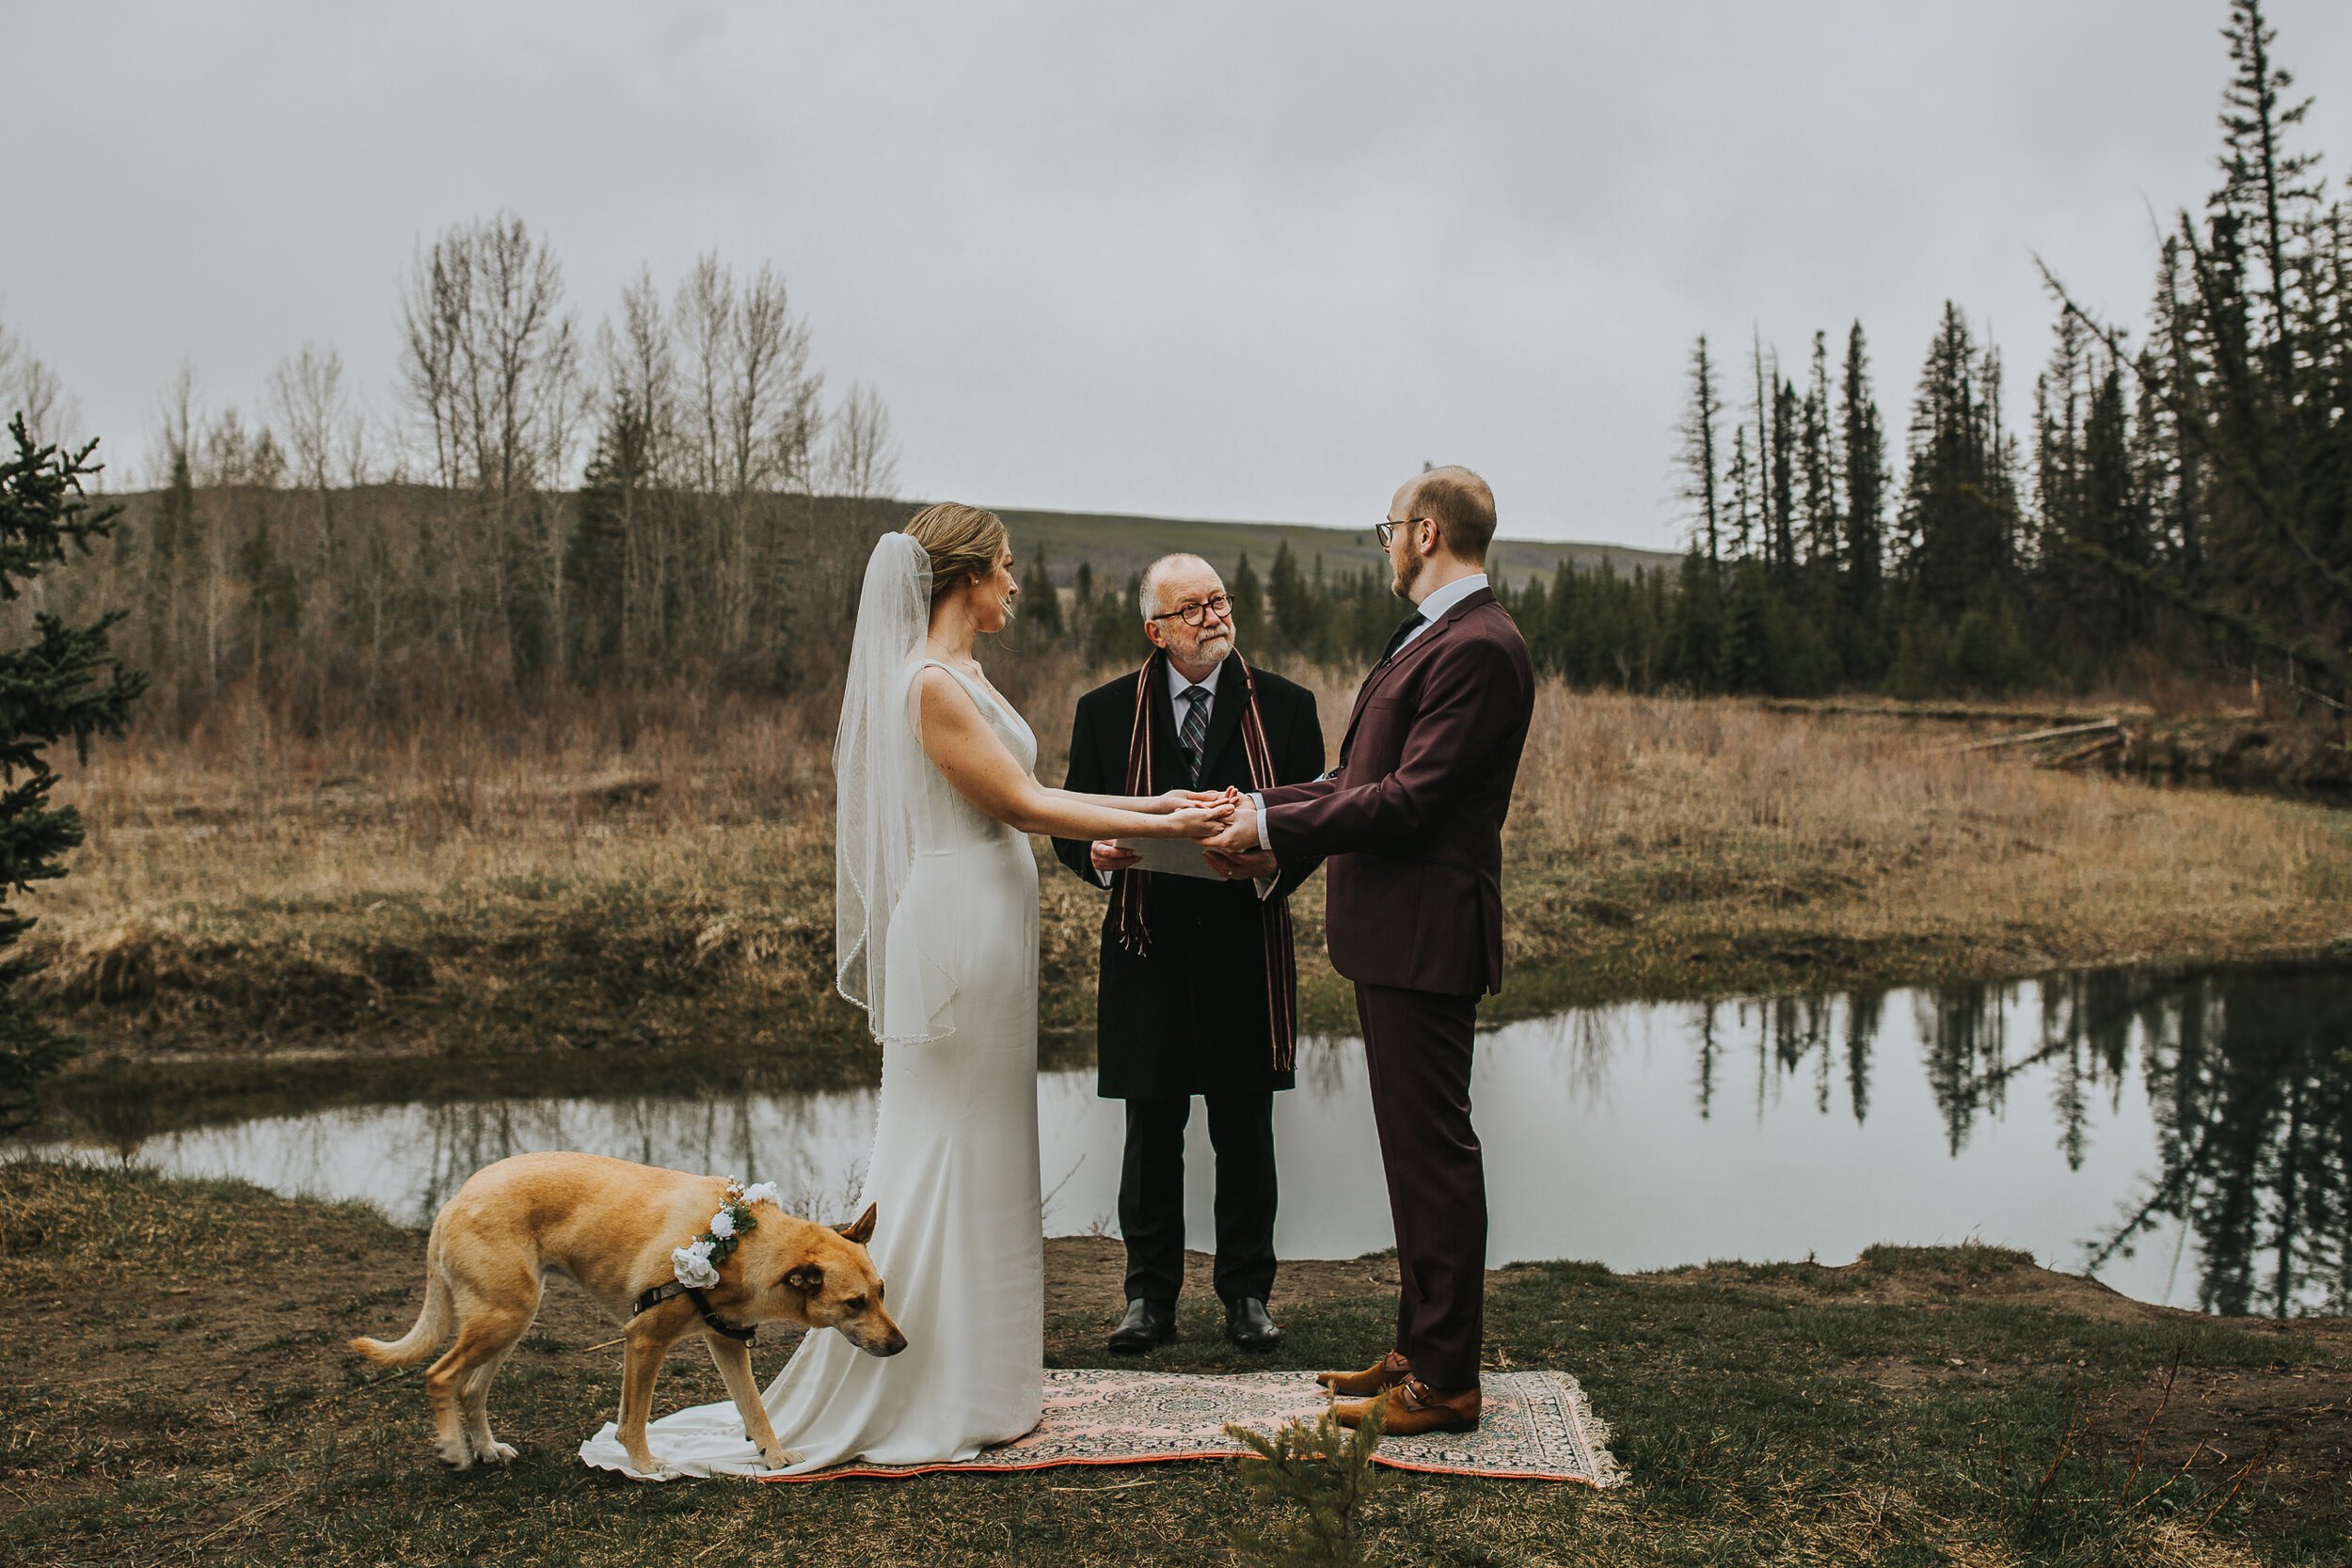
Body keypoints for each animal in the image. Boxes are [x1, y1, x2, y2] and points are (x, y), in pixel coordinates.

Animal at [350, 1151, 908, 1476]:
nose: (901, 1345)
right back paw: (454, 1450)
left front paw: (771, 1455)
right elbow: (635, 1419)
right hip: (502, 1318)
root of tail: (454, 1200)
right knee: (441, 1376)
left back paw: (486, 1450)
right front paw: (641, 1464)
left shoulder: (726, 1343)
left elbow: (755, 1408)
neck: (743, 1244)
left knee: (469, 1387)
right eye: (855, 1303)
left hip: (509, 1320)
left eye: (882, 1292)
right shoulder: (644, 1340)